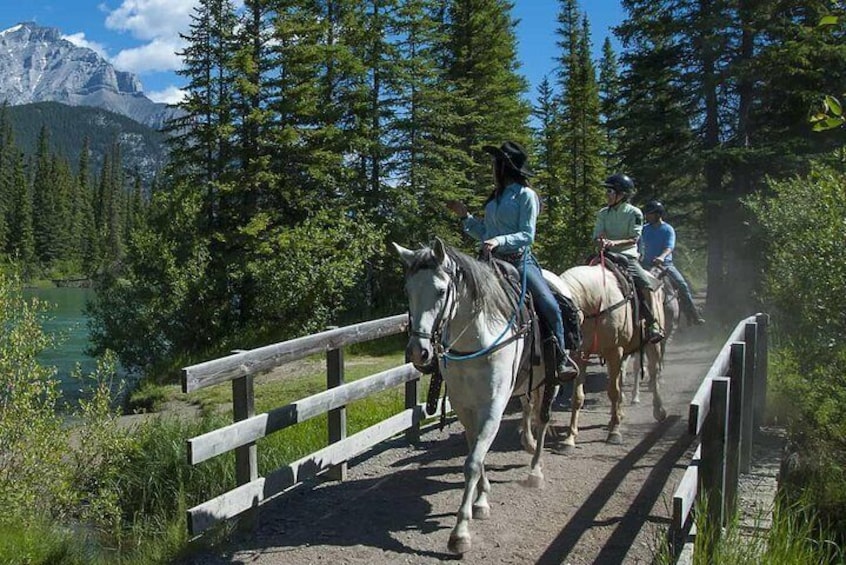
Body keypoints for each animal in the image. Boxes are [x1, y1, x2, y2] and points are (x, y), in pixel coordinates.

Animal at [396, 238, 552, 556]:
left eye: (441, 290)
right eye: (408, 290)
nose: (419, 352)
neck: (478, 341)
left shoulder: (493, 407)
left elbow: (471, 462)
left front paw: (460, 532)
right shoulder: (464, 406)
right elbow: (477, 456)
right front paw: (481, 501)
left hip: (548, 379)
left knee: (543, 419)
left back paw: (535, 471)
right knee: (529, 409)